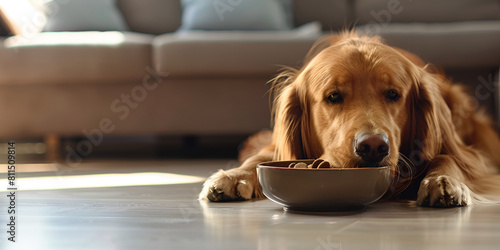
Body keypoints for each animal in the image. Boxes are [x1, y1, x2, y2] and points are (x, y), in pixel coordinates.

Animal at [198, 32, 500, 207]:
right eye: (333, 96)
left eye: (393, 94)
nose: (374, 147)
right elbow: (260, 157)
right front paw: (233, 176)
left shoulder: (468, 154)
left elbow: (449, 158)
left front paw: (443, 181)